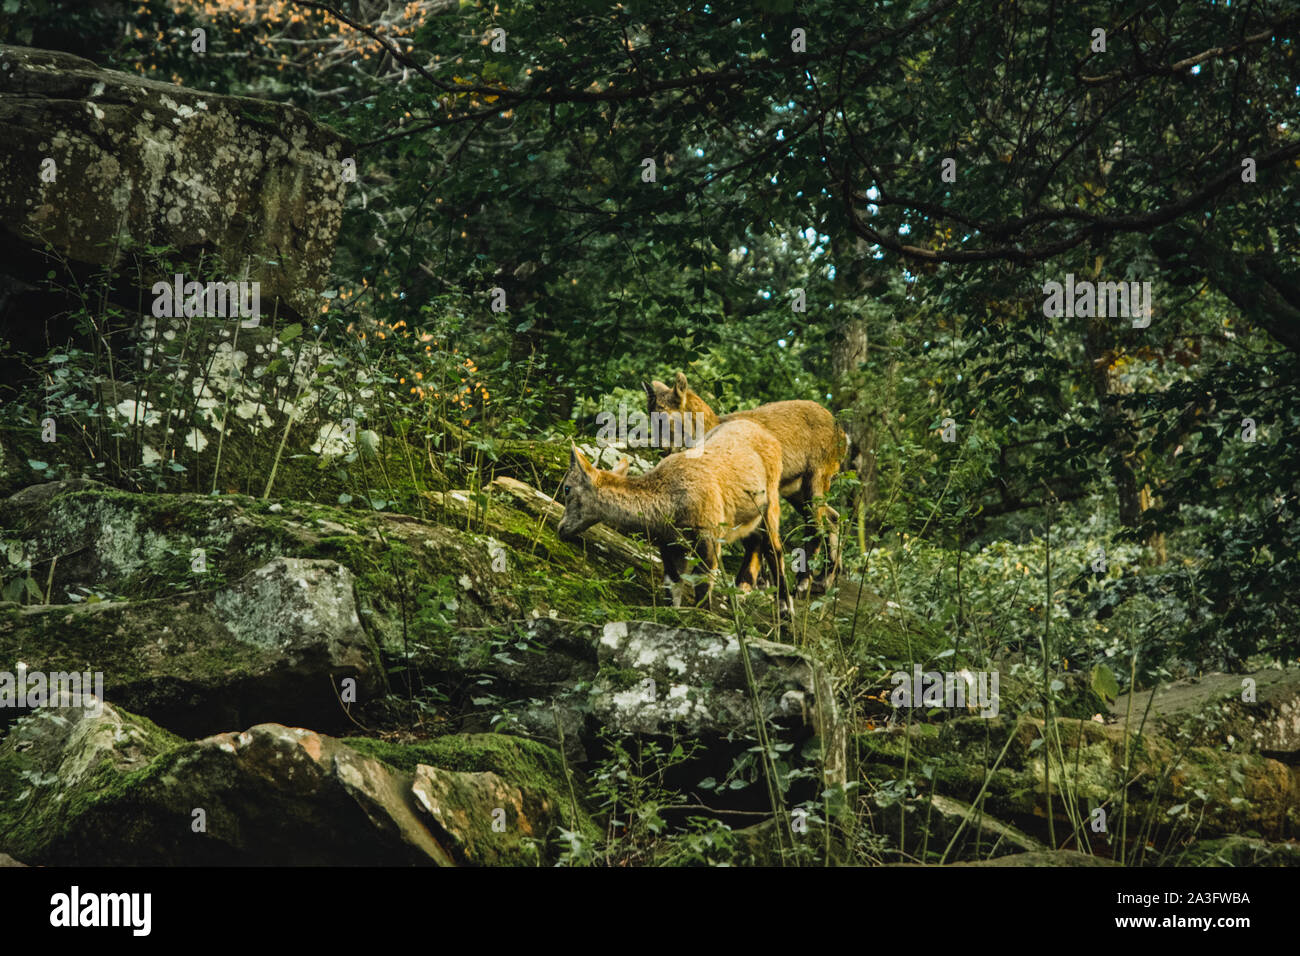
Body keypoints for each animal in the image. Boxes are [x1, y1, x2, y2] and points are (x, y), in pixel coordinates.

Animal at [553, 421, 785, 616]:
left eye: (567, 488)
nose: (561, 527)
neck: (671, 500)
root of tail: (768, 436)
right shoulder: (671, 543)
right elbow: (672, 583)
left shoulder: (709, 534)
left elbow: (703, 581)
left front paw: (704, 615)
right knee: (755, 543)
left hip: (771, 503)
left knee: (774, 549)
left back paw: (784, 609)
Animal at [647, 371, 847, 590]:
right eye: (650, 416)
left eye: (663, 417)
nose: (659, 448)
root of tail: (842, 434)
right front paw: (760, 582)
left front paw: (753, 582)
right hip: (795, 490)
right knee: (833, 517)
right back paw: (824, 580)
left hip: (817, 477)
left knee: (815, 525)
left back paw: (804, 581)